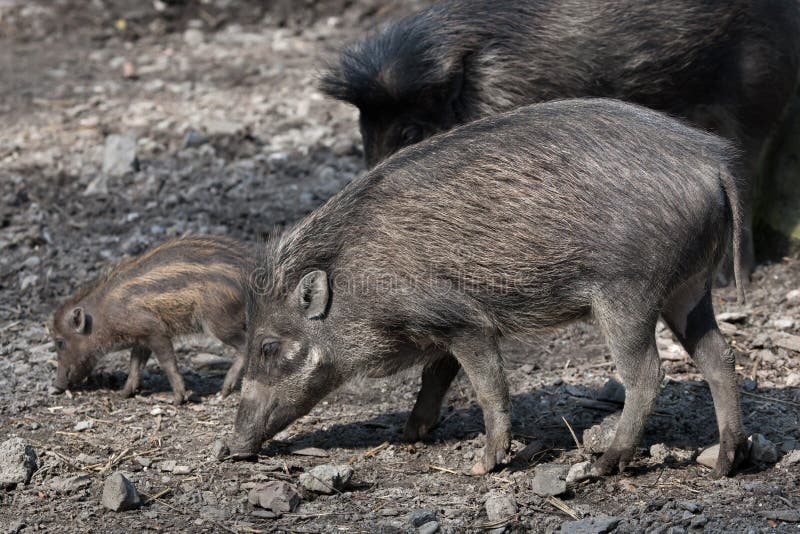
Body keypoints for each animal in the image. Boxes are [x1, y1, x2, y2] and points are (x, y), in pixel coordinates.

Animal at [50, 235, 252, 404]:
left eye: (60, 342)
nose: (56, 386)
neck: (103, 314)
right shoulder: (141, 337)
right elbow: (135, 364)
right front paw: (122, 395)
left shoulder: (155, 330)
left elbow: (167, 362)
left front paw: (177, 399)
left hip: (220, 320)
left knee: (245, 346)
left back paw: (224, 391)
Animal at [225, 99, 748, 479]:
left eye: (268, 346)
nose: (231, 448)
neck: (360, 278)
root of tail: (713, 163)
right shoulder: (441, 327)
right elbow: (436, 376)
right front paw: (409, 434)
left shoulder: (464, 320)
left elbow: (488, 387)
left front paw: (481, 466)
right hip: (689, 290)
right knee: (719, 358)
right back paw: (724, 463)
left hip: (628, 294)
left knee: (647, 373)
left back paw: (604, 464)